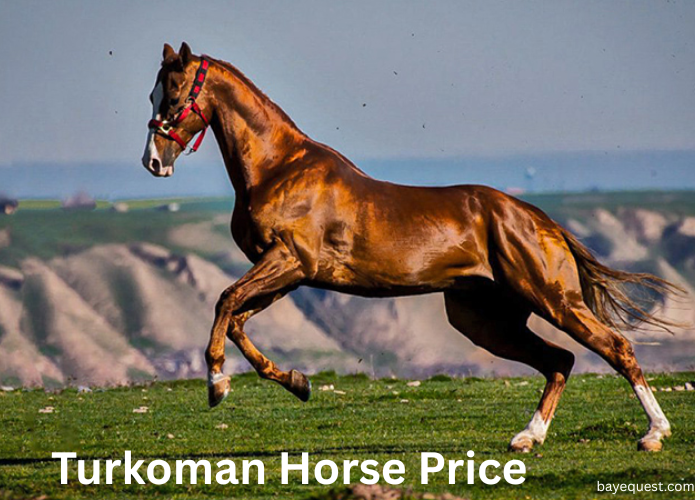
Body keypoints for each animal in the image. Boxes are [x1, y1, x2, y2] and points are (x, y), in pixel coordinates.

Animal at [142, 42, 681, 453]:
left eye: (173, 93)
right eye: (153, 94)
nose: (153, 161)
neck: (280, 168)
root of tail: (540, 220)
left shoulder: (289, 261)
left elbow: (224, 301)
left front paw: (217, 385)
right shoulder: (285, 274)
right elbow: (236, 320)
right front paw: (297, 382)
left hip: (552, 299)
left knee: (615, 348)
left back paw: (653, 434)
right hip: (484, 319)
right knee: (560, 361)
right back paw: (528, 437)